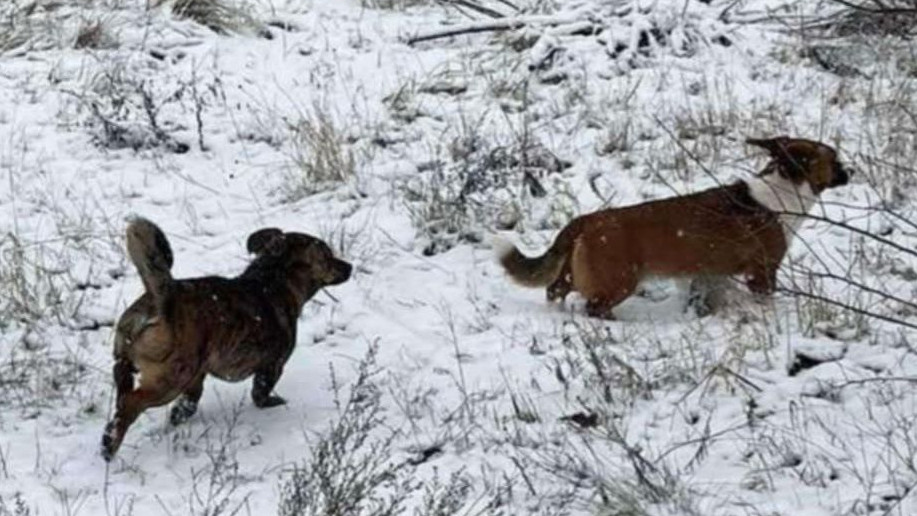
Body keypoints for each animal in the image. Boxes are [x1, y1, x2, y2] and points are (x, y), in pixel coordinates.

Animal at [102, 217, 352, 460]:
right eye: (327, 256)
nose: (349, 266)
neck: (273, 281)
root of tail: (159, 301)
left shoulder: (198, 374)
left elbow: (190, 401)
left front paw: (178, 416)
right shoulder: (273, 365)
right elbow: (260, 393)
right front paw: (273, 403)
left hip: (134, 360)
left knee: (121, 383)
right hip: (171, 378)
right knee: (131, 403)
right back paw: (110, 443)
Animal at [498, 135, 848, 316]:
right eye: (834, 160)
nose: (852, 170)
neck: (777, 194)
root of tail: (587, 219)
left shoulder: (712, 275)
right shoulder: (761, 272)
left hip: (575, 274)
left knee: (554, 290)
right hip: (619, 281)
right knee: (594, 307)